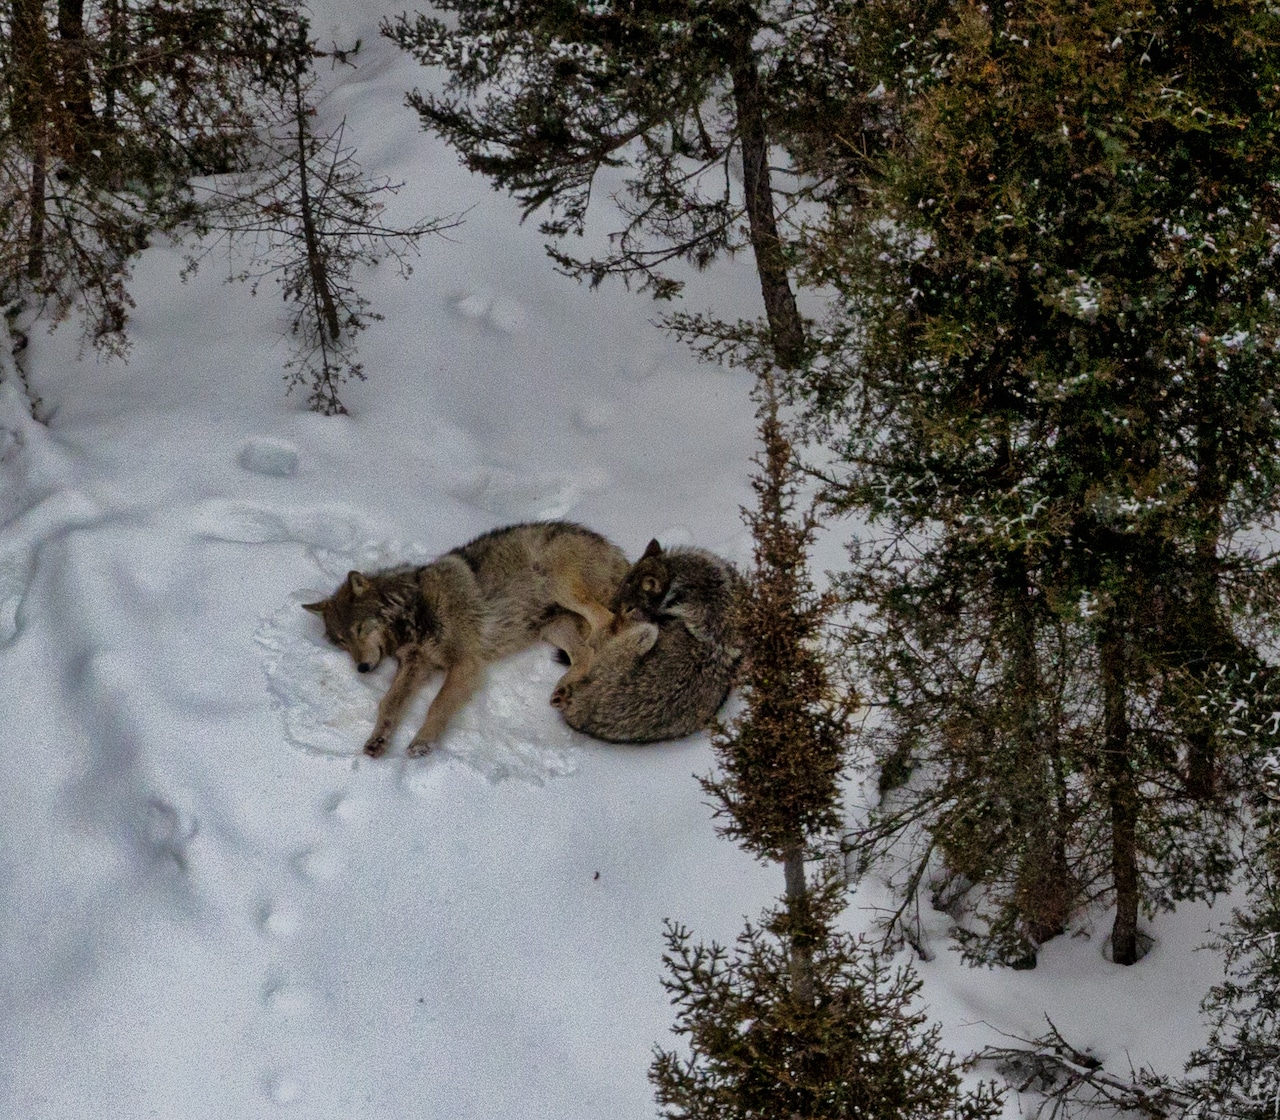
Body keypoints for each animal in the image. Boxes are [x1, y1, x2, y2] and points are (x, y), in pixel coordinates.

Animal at [303, 521, 628, 757]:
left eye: (359, 629)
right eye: (342, 642)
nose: (361, 669)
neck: (415, 612)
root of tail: (617, 551)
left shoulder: (465, 664)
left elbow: (437, 705)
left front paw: (422, 743)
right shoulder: (416, 665)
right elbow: (389, 704)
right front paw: (378, 740)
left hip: (559, 586)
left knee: (607, 623)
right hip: (551, 628)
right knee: (584, 653)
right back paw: (563, 690)